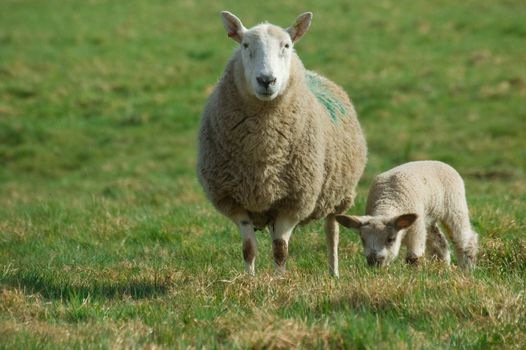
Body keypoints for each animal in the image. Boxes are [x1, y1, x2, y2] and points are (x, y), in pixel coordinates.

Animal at [198, 10, 368, 278]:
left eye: (286, 45)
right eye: (245, 45)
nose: (267, 80)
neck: (263, 147)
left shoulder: (294, 200)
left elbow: (280, 250)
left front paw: (279, 280)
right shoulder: (236, 201)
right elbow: (248, 248)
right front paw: (250, 280)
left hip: (337, 194)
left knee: (332, 232)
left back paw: (334, 272)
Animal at [336, 160, 480, 270]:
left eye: (390, 239)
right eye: (363, 239)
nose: (374, 262)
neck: (387, 201)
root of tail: (440, 162)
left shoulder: (415, 230)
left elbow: (414, 257)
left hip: (454, 206)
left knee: (464, 238)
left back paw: (467, 267)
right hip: (427, 218)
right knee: (439, 242)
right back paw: (442, 266)